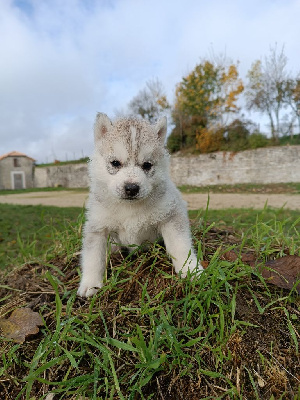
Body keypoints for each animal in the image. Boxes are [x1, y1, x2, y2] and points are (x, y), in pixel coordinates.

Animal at [78, 112, 204, 296]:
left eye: (147, 165)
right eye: (115, 163)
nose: (131, 188)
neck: (130, 208)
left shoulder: (172, 216)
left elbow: (181, 246)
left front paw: (190, 269)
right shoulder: (97, 226)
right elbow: (93, 256)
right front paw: (90, 283)